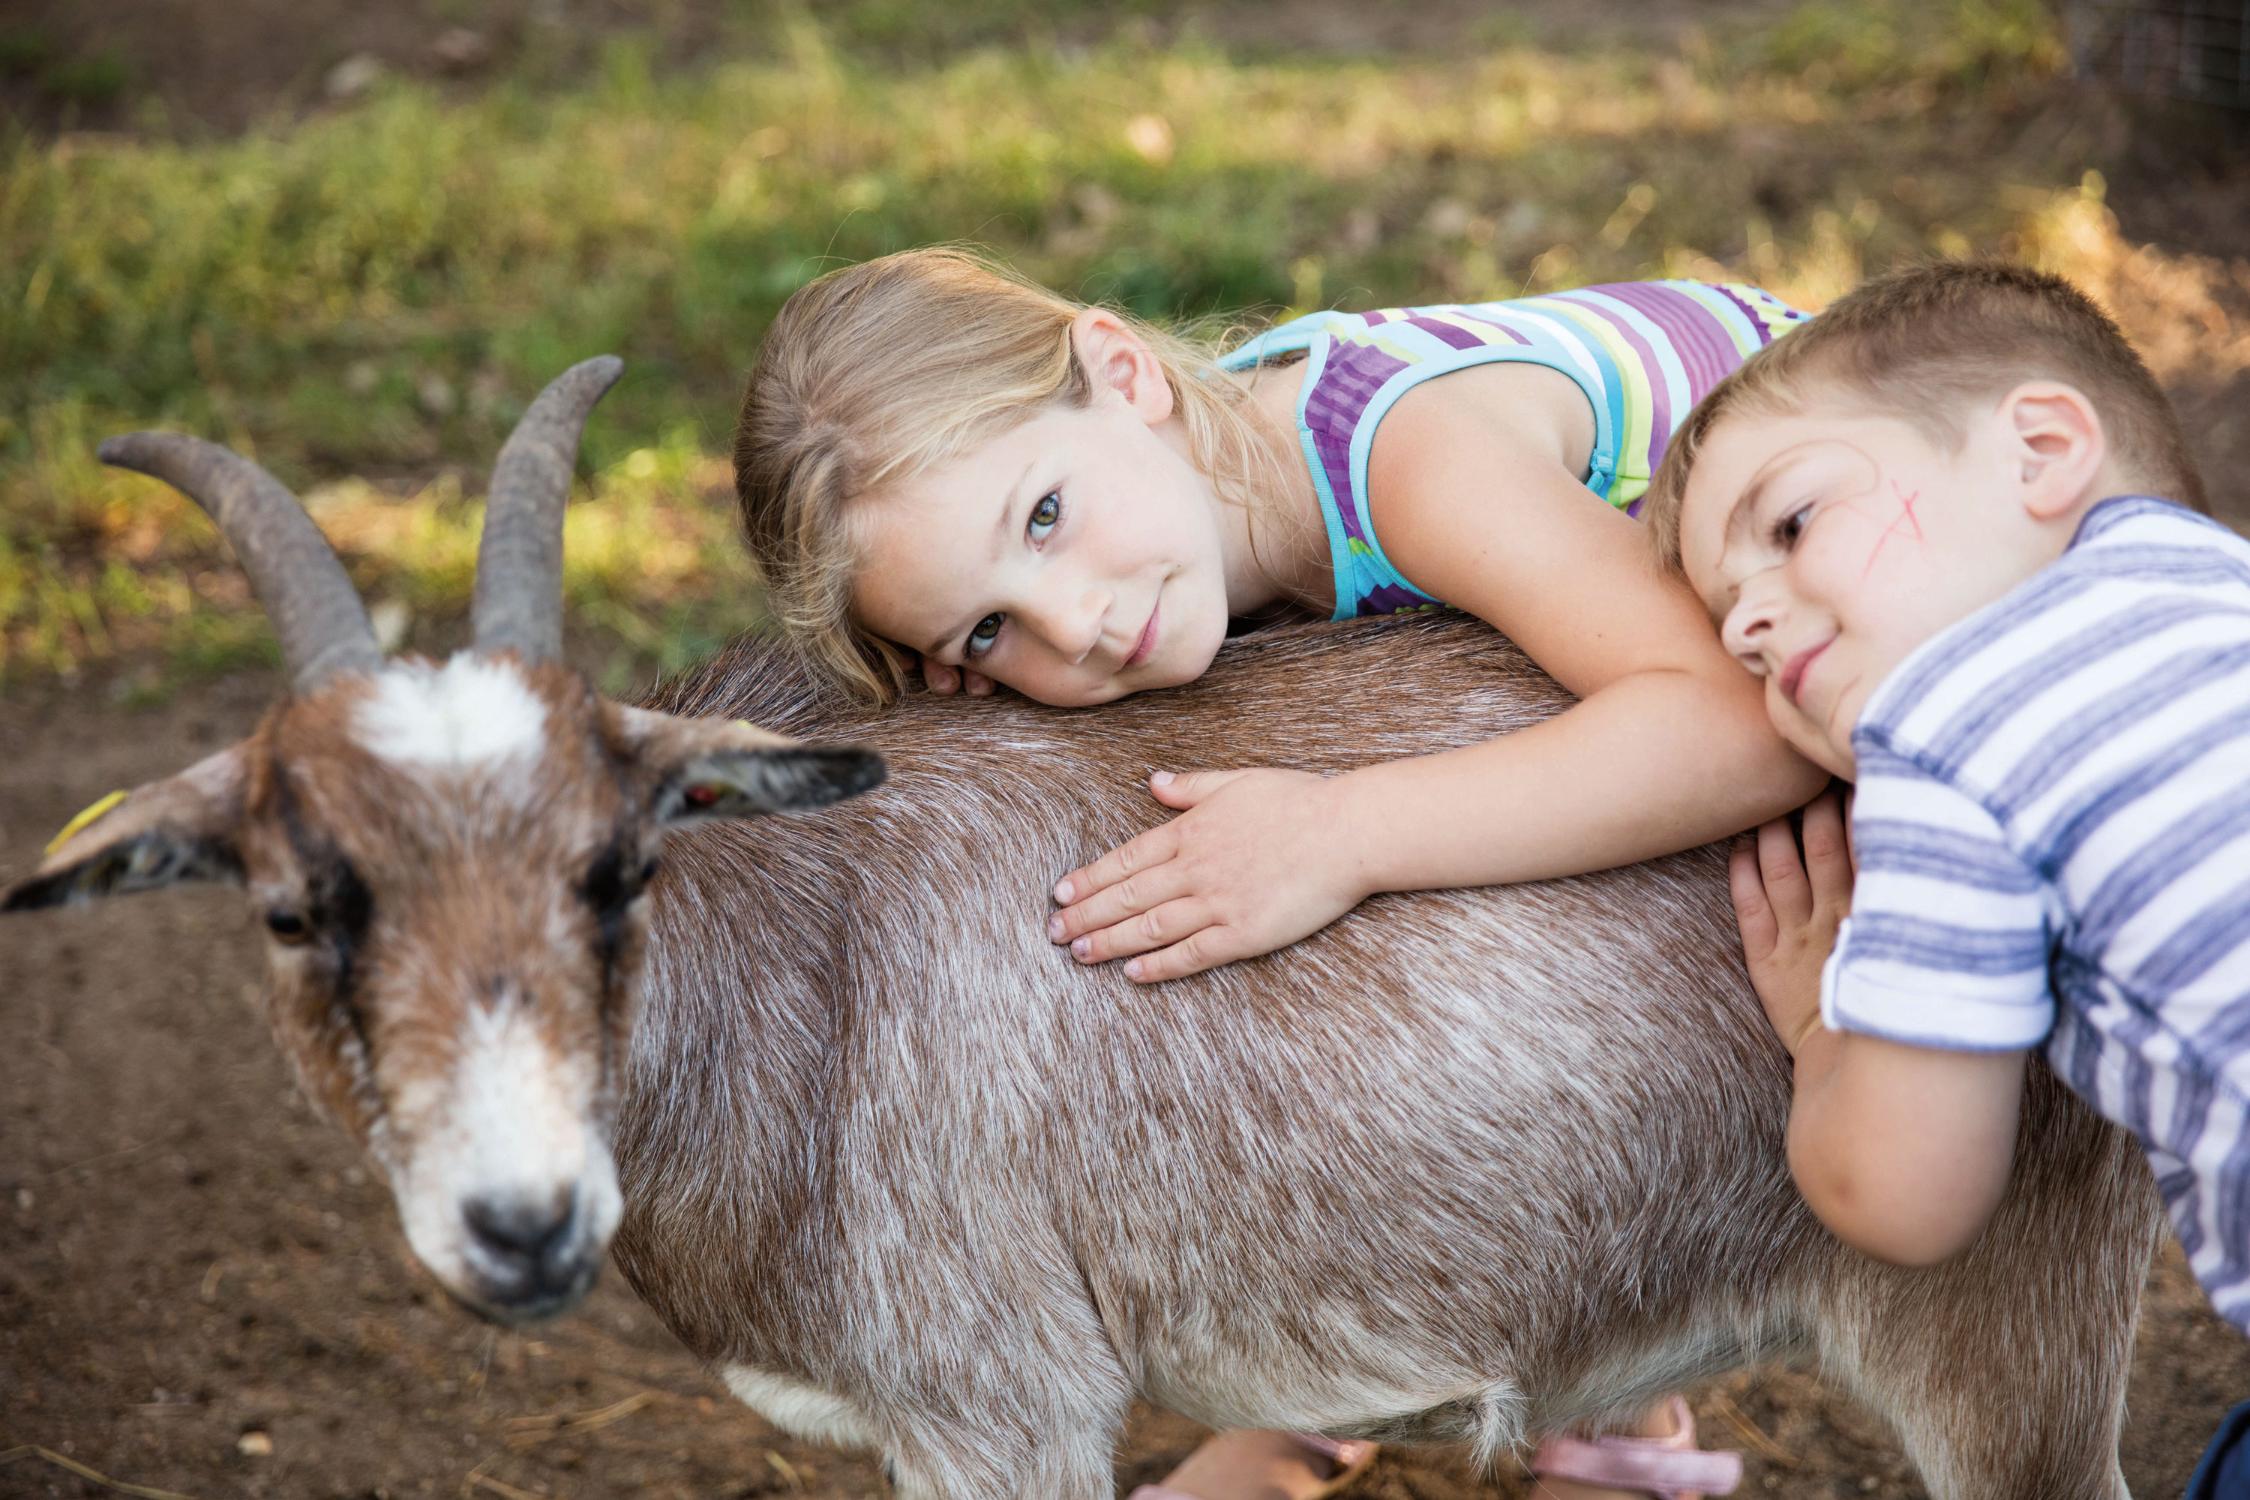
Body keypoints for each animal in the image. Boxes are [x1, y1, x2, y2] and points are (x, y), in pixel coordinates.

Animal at [8, 359, 2169, 1500]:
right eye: (295, 905)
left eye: (617, 866)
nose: (522, 1222)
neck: (809, 973)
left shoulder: (1001, 1400)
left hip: (2014, 1314)